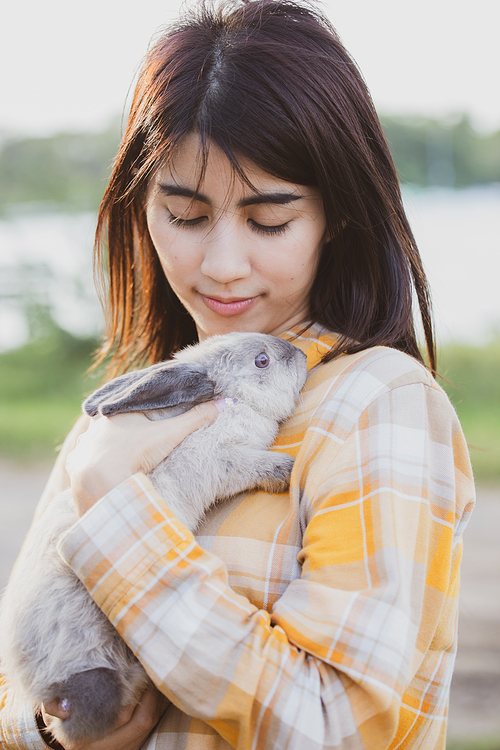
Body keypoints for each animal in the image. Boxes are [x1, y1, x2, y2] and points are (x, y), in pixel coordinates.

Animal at [0, 334, 304, 748]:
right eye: (262, 361)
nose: (302, 355)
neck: (233, 400)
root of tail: (41, 688)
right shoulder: (226, 461)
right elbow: (253, 464)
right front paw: (284, 470)